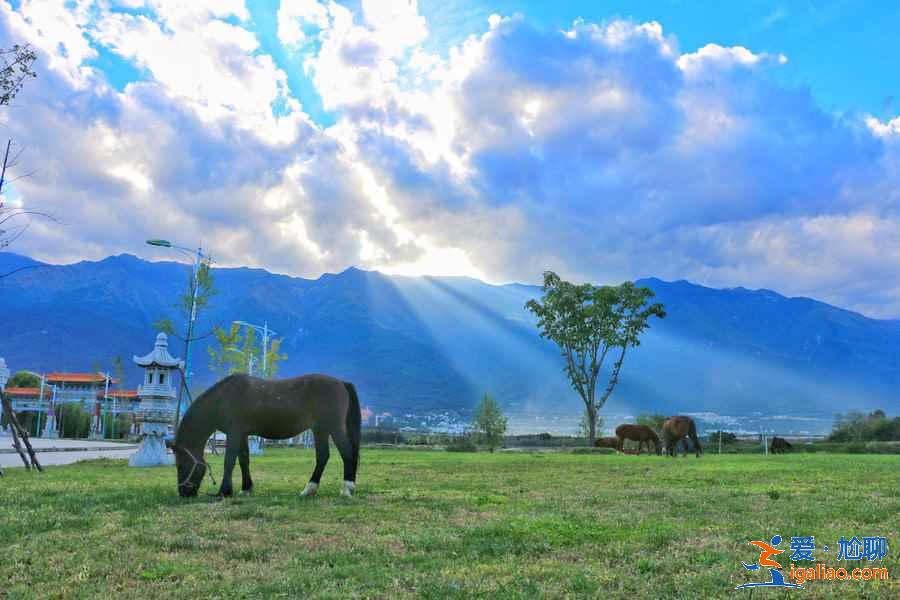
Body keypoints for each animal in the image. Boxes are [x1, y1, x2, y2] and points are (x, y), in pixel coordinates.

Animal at [174, 376, 360, 496]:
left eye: (181, 465)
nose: (184, 493)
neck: (223, 398)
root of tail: (342, 383)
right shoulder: (242, 435)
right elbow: (244, 460)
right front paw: (246, 488)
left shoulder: (234, 434)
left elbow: (229, 461)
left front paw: (224, 491)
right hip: (320, 430)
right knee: (323, 457)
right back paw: (309, 490)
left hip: (333, 428)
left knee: (347, 453)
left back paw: (346, 489)